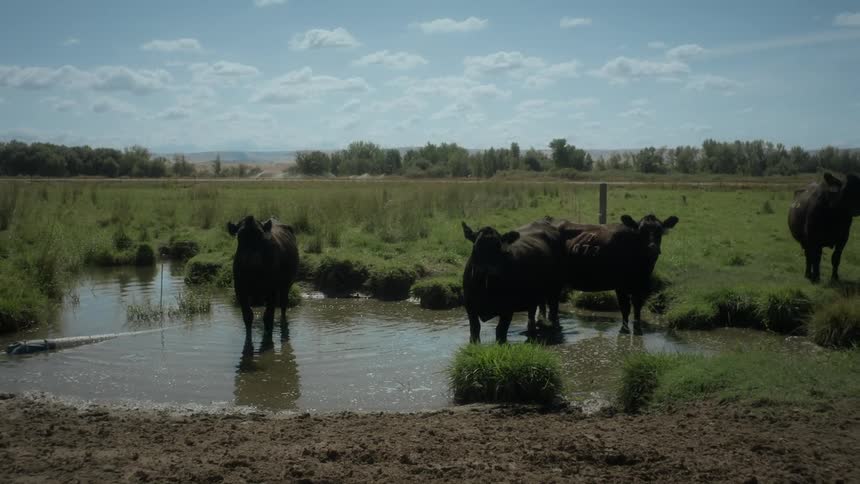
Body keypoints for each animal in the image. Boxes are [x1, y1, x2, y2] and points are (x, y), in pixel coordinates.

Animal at [548, 214, 679, 335]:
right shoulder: (620, 285)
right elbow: (625, 308)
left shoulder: (641, 284)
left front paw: (638, 330)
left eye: (660, 231)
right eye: (641, 231)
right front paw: (624, 330)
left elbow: (637, 306)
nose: (653, 248)